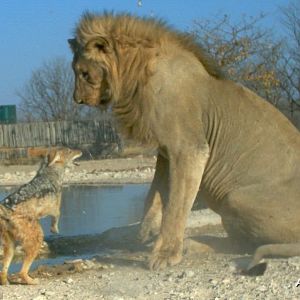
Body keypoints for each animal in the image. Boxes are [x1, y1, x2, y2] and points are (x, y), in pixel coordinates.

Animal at [68, 12, 300, 272]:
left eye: (84, 73)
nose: (77, 100)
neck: (136, 74)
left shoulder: (189, 149)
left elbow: (176, 206)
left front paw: (165, 254)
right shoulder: (165, 153)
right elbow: (154, 196)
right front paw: (143, 234)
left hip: (234, 198)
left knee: (243, 244)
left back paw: (192, 244)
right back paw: (193, 244)